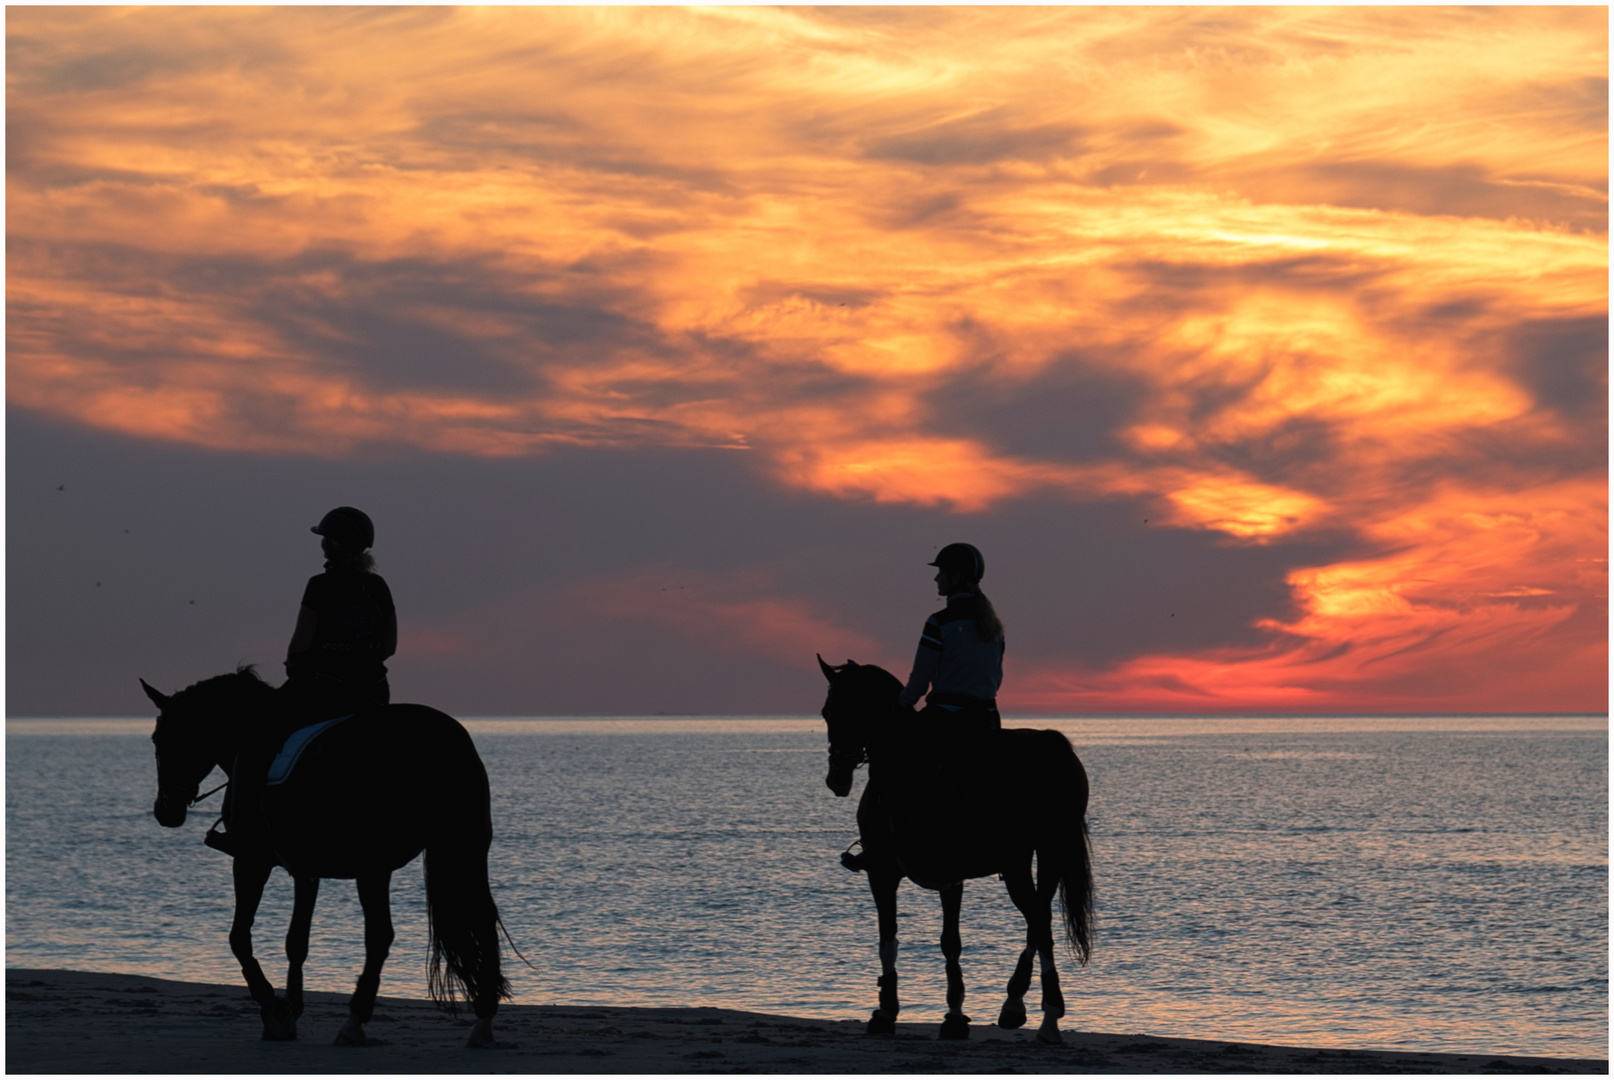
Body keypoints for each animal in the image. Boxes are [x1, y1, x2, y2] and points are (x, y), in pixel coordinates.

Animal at [146, 665, 510, 1046]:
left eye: (160, 740)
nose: (164, 810)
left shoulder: (250, 861)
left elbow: (239, 936)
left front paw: (273, 1008)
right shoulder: (305, 871)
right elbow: (296, 941)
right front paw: (293, 1005)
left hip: (375, 863)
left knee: (379, 935)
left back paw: (354, 1022)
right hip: (465, 846)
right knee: (483, 918)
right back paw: (482, 1022)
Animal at [813, 652, 1091, 1039]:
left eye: (829, 712)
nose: (835, 778)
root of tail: (1050, 748)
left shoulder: (881, 872)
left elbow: (888, 938)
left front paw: (886, 1011)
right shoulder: (952, 879)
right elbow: (951, 943)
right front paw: (955, 1015)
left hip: (1019, 861)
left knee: (1039, 920)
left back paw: (1049, 1017)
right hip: (1049, 853)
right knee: (1040, 919)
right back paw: (1015, 1005)